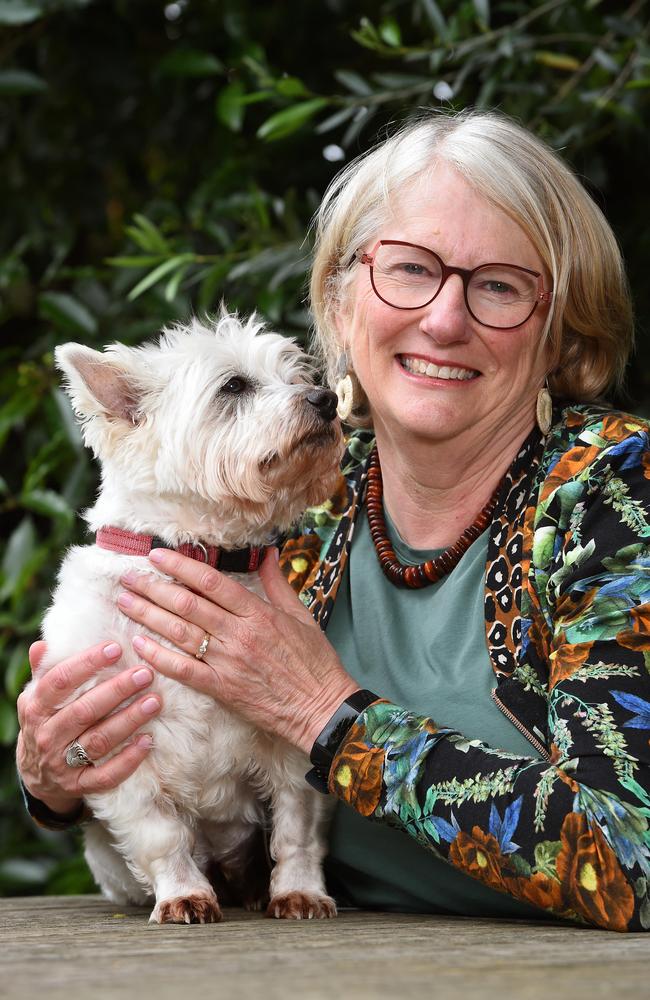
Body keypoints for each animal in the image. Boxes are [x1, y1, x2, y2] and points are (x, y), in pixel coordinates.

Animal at [34, 312, 342, 920]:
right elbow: (161, 833)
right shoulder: (118, 742)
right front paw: (183, 895)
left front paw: (299, 891)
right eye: (234, 387)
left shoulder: (290, 747)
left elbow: (295, 829)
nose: (327, 399)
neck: (197, 553)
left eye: (296, 374)